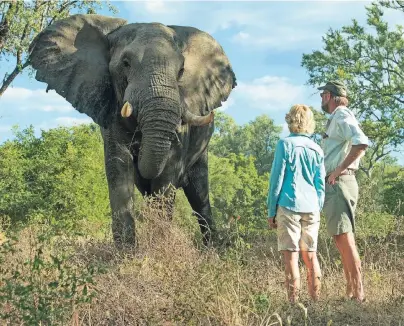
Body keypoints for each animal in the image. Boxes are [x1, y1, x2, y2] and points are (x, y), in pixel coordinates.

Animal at [28, 12, 237, 247]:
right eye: (126, 63)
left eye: (181, 70)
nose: (139, 146)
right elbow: (119, 167)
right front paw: (127, 252)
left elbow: (168, 171)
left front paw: (158, 248)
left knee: (199, 195)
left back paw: (213, 249)